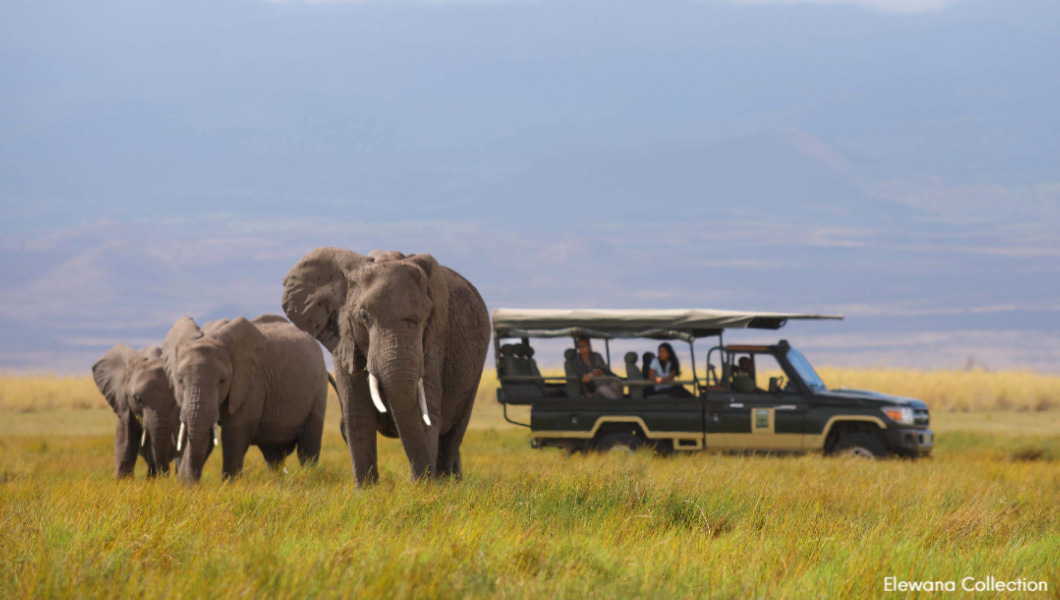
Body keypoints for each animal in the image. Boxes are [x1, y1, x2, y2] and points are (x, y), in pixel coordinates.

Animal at [160, 315, 326, 485]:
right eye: (180, 380)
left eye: (223, 381)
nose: (190, 484)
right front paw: (186, 487)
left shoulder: (251, 384)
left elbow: (234, 433)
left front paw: (230, 486)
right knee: (272, 454)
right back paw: (276, 483)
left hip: (319, 387)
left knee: (308, 448)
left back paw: (310, 477)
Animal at [279, 246, 489, 487]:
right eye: (363, 316)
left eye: (426, 318)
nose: (416, 480)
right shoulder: (343, 339)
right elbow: (357, 414)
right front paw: (367, 491)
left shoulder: (435, 342)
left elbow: (427, 411)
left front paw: (422, 489)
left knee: (454, 432)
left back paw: (448, 483)